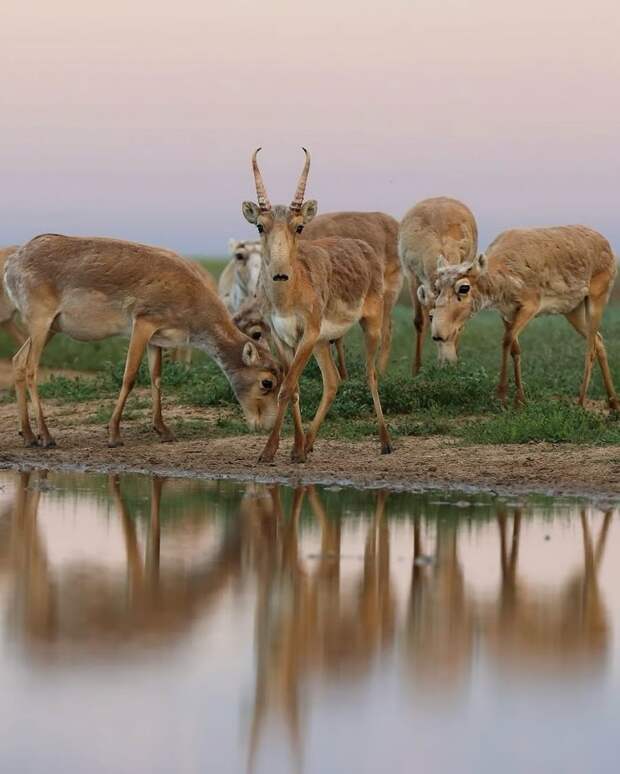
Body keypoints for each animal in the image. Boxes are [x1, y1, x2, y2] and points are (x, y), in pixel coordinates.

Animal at [3, 239, 280, 452]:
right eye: (267, 382)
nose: (266, 425)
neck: (192, 300)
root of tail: (12, 261)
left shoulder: (157, 338)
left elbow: (156, 377)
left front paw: (163, 430)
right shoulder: (143, 324)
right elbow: (130, 376)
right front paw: (114, 434)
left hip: (51, 327)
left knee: (18, 361)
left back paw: (28, 435)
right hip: (41, 322)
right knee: (31, 368)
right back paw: (46, 436)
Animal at [242, 149, 392, 464]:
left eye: (299, 226)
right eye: (260, 225)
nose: (280, 274)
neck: (287, 297)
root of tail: (363, 247)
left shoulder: (307, 334)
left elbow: (286, 388)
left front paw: (269, 451)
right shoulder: (280, 337)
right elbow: (294, 389)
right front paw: (295, 448)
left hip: (370, 326)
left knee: (371, 375)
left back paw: (385, 442)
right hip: (324, 342)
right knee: (333, 381)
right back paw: (309, 443)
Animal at [428, 226, 616, 412]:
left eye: (464, 287)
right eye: (437, 287)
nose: (438, 334)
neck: (504, 276)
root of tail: (606, 244)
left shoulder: (530, 306)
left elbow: (506, 340)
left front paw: (501, 396)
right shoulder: (507, 312)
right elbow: (515, 349)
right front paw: (520, 400)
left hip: (597, 297)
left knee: (590, 347)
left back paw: (581, 402)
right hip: (573, 310)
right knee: (599, 340)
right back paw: (613, 402)